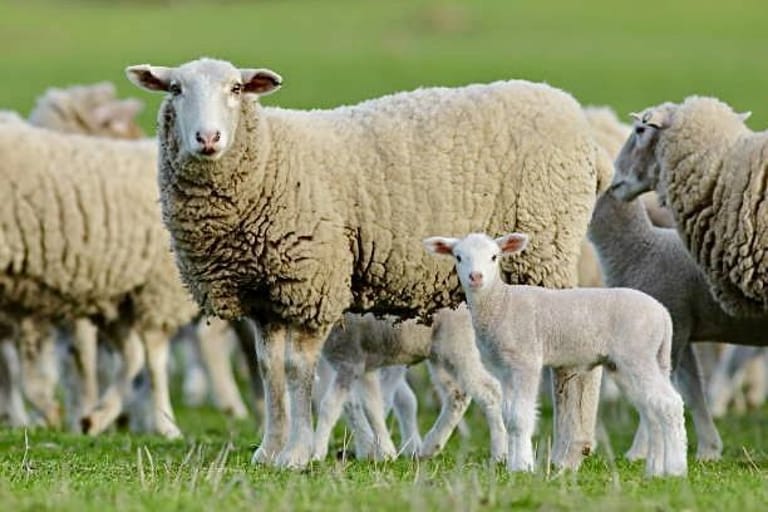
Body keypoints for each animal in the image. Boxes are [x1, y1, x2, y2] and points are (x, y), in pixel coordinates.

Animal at [314, 306, 506, 462]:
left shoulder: (350, 360)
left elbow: (330, 406)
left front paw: (317, 453)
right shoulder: (364, 368)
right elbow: (372, 406)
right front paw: (383, 451)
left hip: (457, 344)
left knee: (490, 390)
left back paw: (499, 453)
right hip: (439, 354)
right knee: (457, 394)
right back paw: (430, 447)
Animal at [424, 232, 687, 477]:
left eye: (494, 257)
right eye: (458, 257)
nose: (476, 277)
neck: (501, 302)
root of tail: (663, 314)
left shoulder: (526, 360)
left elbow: (520, 417)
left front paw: (523, 467)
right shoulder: (504, 369)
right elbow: (508, 417)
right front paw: (513, 465)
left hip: (638, 355)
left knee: (669, 404)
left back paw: (675, 469)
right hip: (641, 362)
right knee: (652, 409)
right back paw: (655, 470)